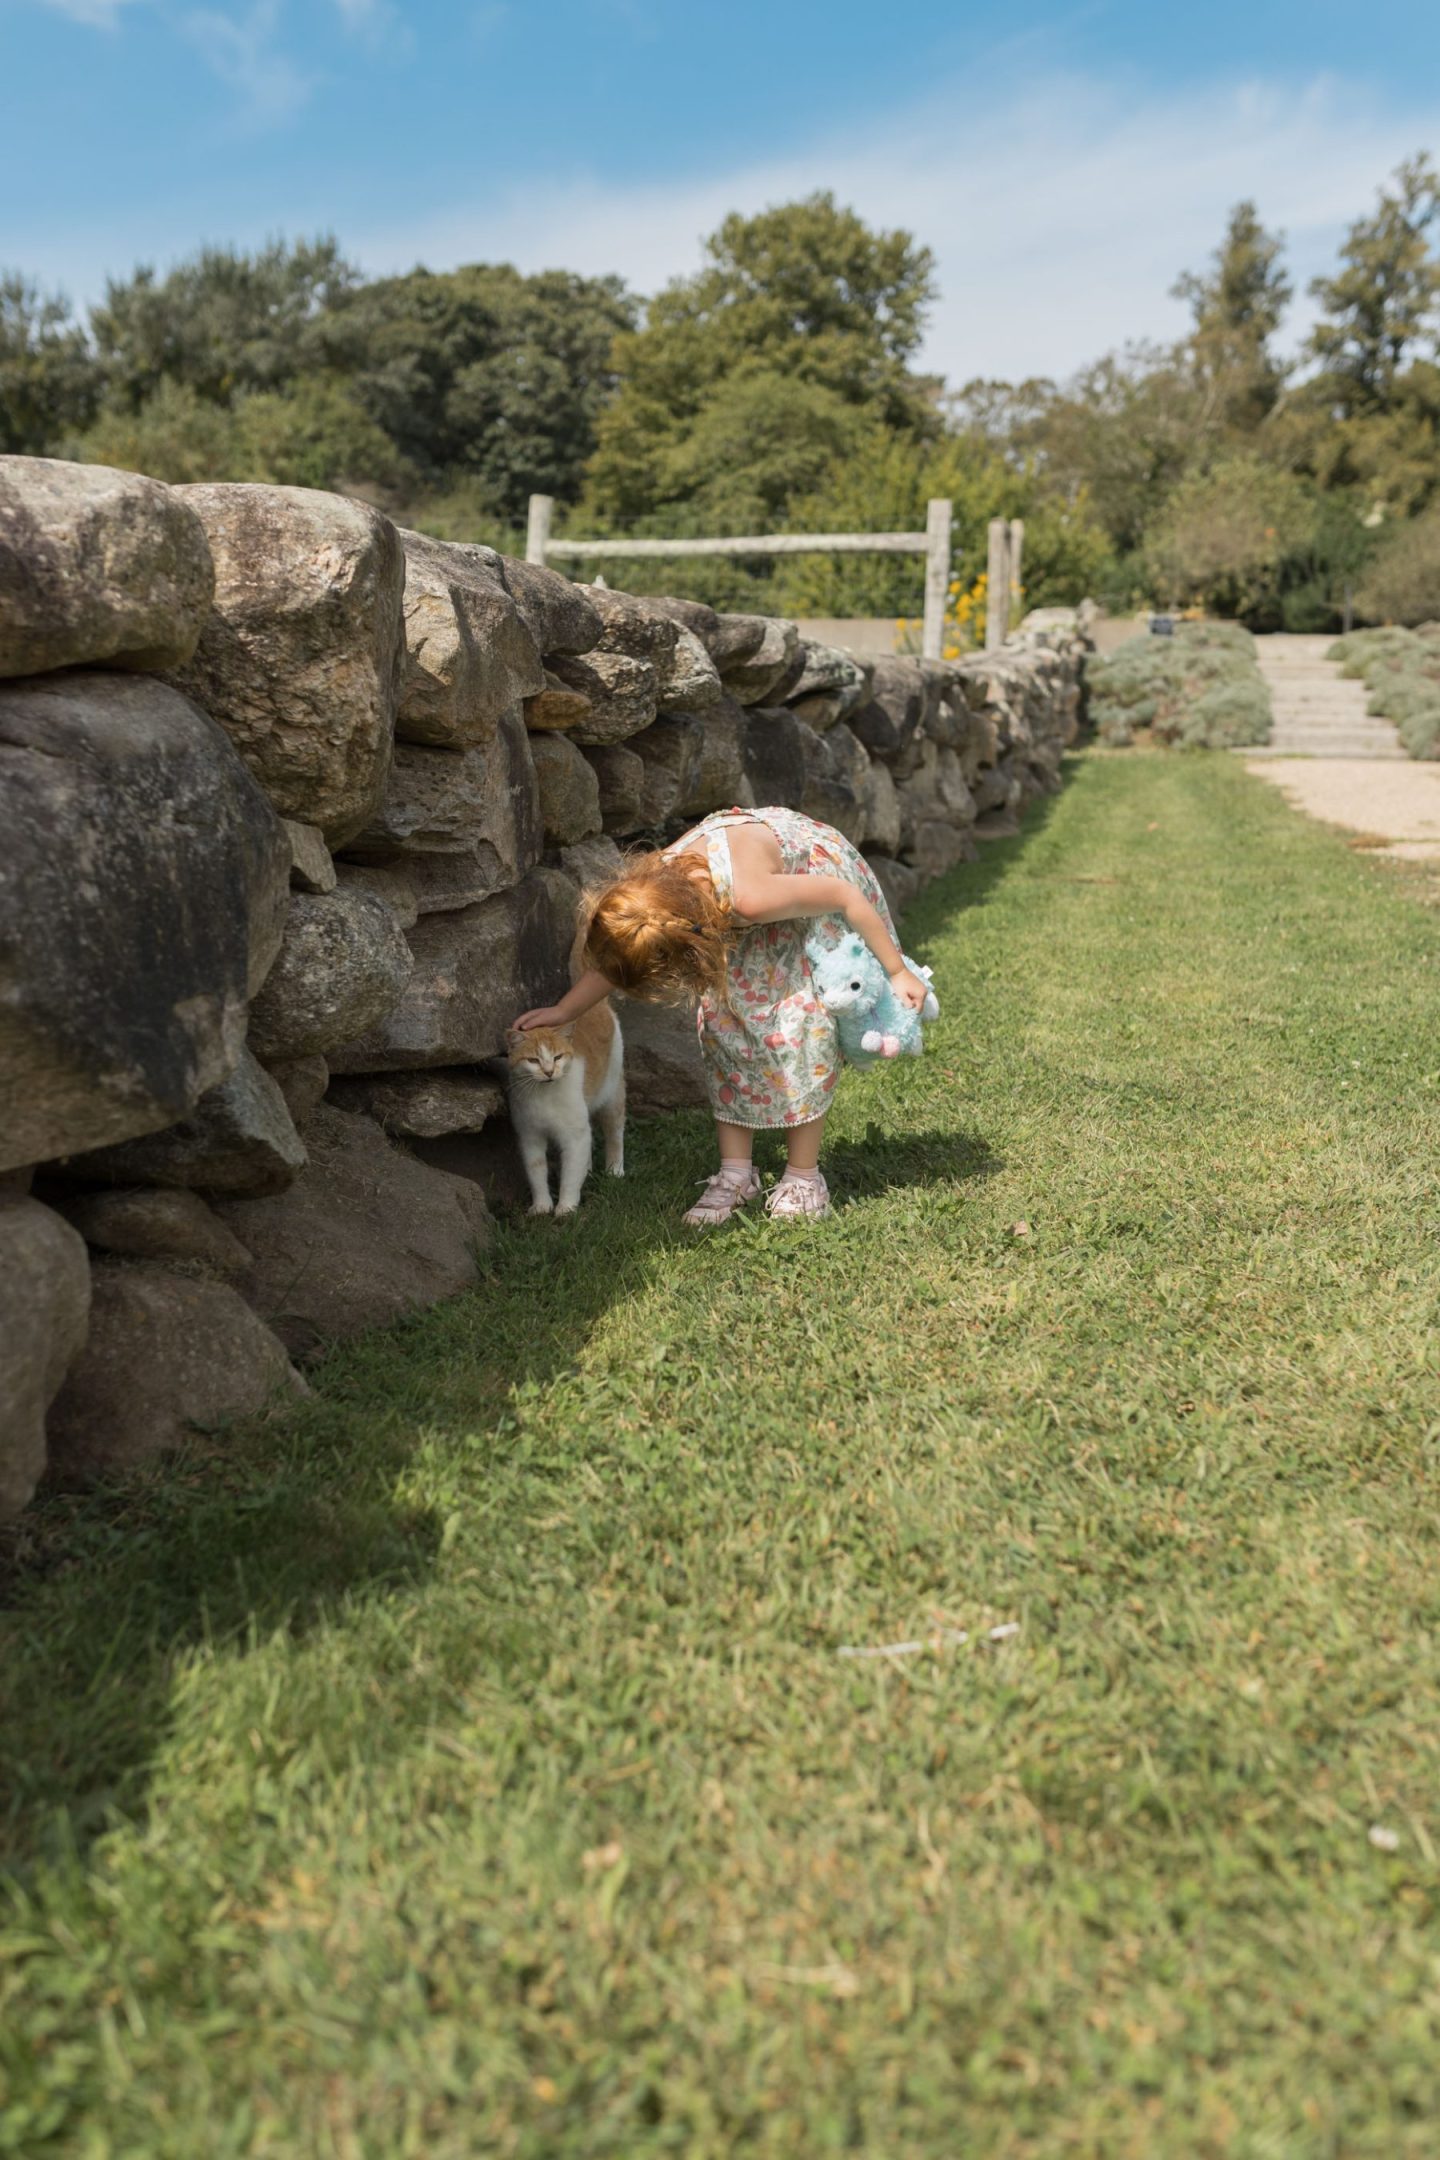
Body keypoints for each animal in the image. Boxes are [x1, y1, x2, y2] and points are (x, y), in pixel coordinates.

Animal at [505, 997, 621, 1218]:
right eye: (533, 1060)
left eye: (558, 1057)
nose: (549, 1072)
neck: (544, 1095)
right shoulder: (530, 1135)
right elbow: (536, 1172)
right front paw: (541, 1206)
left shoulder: (574, 1136)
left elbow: (570, 1174)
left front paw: (566, 1207)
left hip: (612, 1094)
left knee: (615, 1134)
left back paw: (615, 1170)